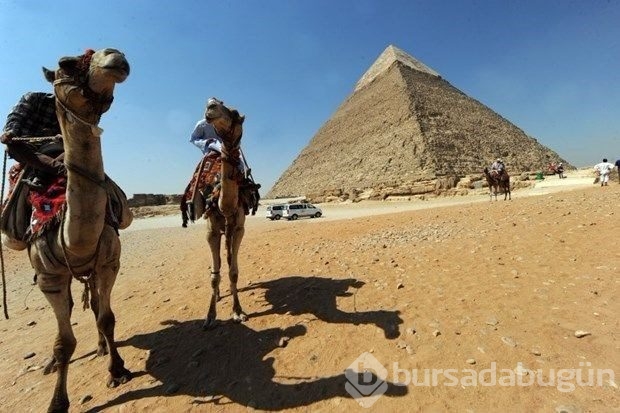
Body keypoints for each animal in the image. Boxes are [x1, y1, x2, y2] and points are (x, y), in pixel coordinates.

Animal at [11, 49, 132, 412]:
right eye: (66, 64)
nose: (115, 56)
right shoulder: (50, 277)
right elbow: (65, 342)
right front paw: (57, 402)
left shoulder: (108, 262)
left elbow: (107, 318)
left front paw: (117, 370)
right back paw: (52, 363)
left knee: (93, 302)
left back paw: (104, 347)